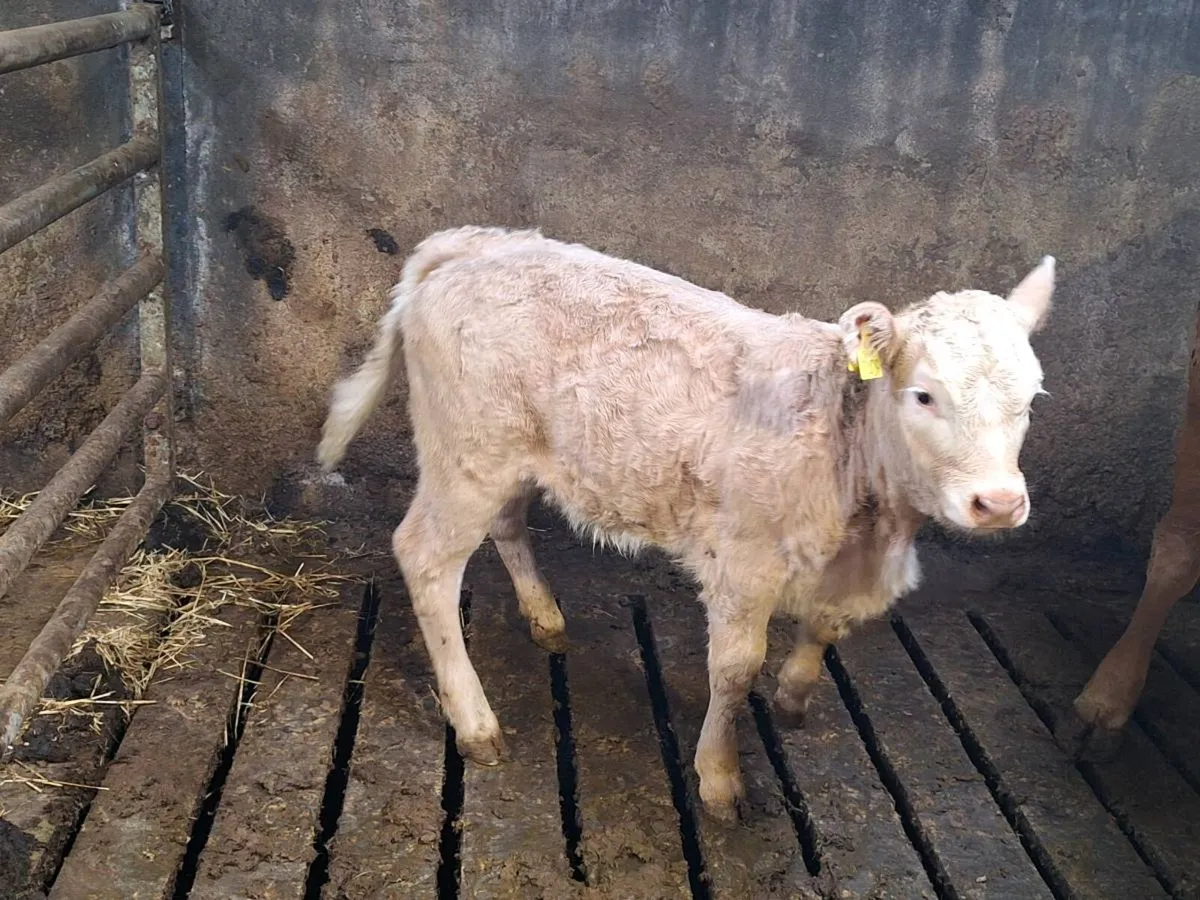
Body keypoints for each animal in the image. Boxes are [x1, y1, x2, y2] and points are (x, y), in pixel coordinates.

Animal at [317, 226, 1054, 825]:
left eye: (1031, 398)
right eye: (924, 395)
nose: (998, 502)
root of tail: (473, 244)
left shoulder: (846, 569)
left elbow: (824, 630)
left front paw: (792, 698)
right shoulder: (744, 565)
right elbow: (734, 671)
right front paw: (721, 779)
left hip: (508, 453)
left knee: (506, 522)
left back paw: (544, 616)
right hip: (464, 453)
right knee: (425, 558)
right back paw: (474, 722)